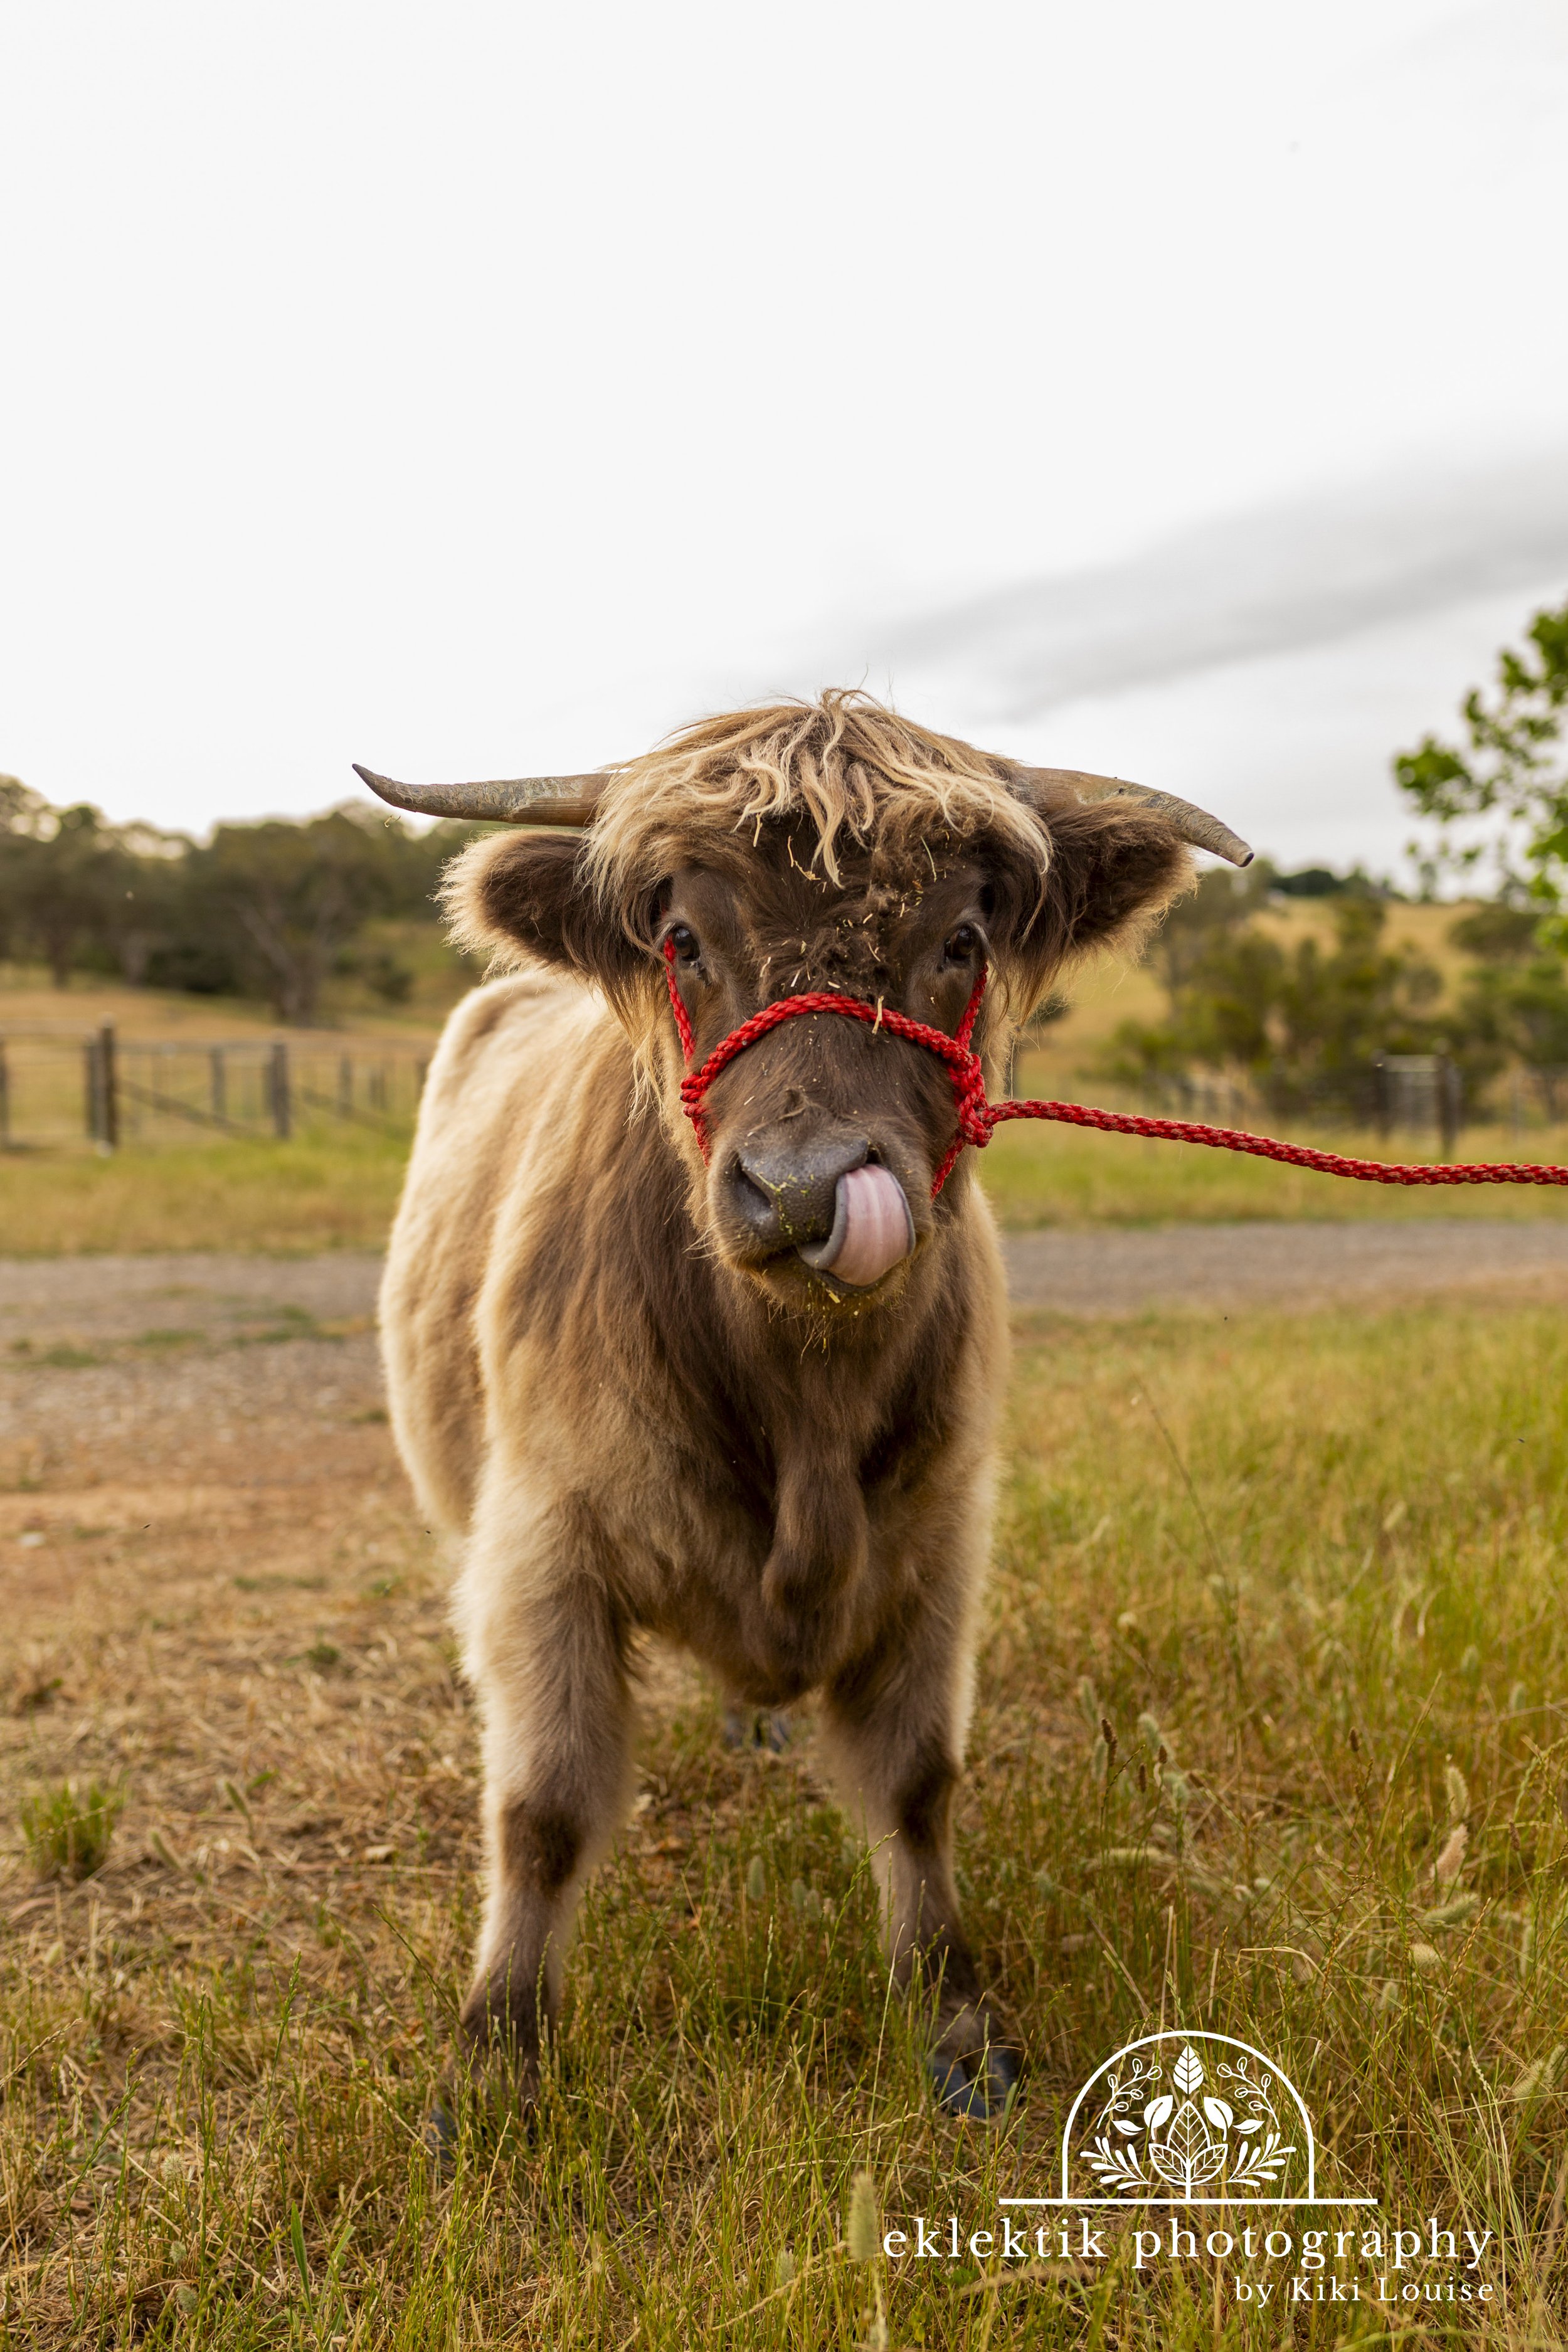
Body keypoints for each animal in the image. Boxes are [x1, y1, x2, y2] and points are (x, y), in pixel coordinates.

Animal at [358, 692, 1250, 2121]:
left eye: (958, 941)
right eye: (682, 939)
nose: (801, 1191)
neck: (802, 1407)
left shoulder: (938, 1542)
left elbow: (916, 1785)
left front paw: (954, 2023)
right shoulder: (540, 1546)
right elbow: (543, 1809)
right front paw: (494, 2060)